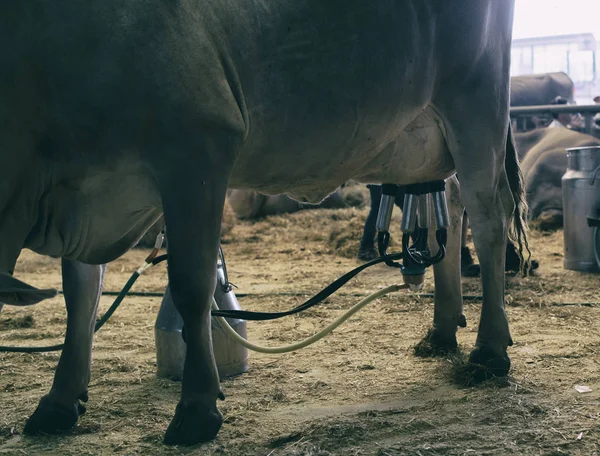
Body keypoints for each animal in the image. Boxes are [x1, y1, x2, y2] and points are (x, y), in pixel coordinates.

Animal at [0, 0, 524, 446]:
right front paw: (59, 402)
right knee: (452, 205)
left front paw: (197, 408)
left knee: (489, 214)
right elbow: (80, 298)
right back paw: (442, 330)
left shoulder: (198, 148)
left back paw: (490, 350)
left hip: (477, 102)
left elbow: (190, 286)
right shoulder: (81, 196)